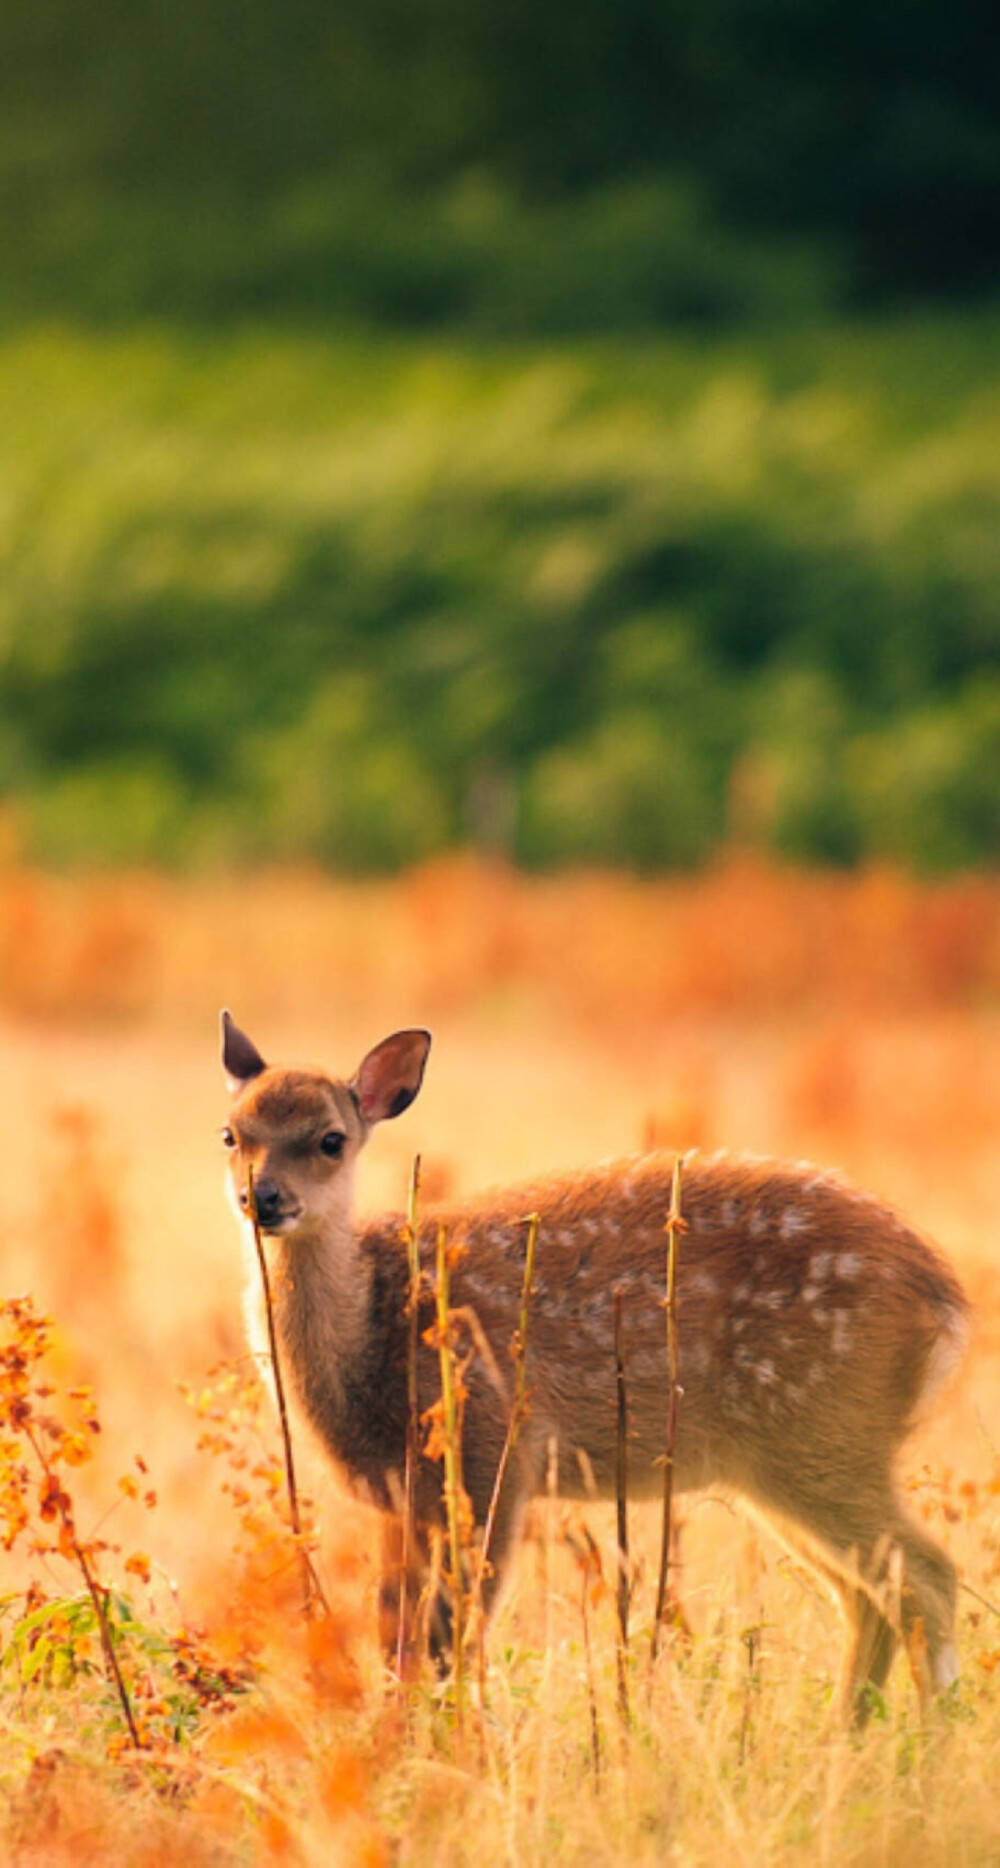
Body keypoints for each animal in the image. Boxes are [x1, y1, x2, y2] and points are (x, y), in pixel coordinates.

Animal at [218, 1023, 971, 1718]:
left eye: (330, 1139)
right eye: (231, 1134)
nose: (265, 1198)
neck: (372, 1337)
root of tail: (945, 1299)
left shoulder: (491, 1450)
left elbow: (455, 1632)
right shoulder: (399, 1498)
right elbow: (397, 1635)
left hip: (826, 1430)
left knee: (927, 1575)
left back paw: (924, 1744)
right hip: (790, 1461)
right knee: (870, 1595)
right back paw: (851, 1736)